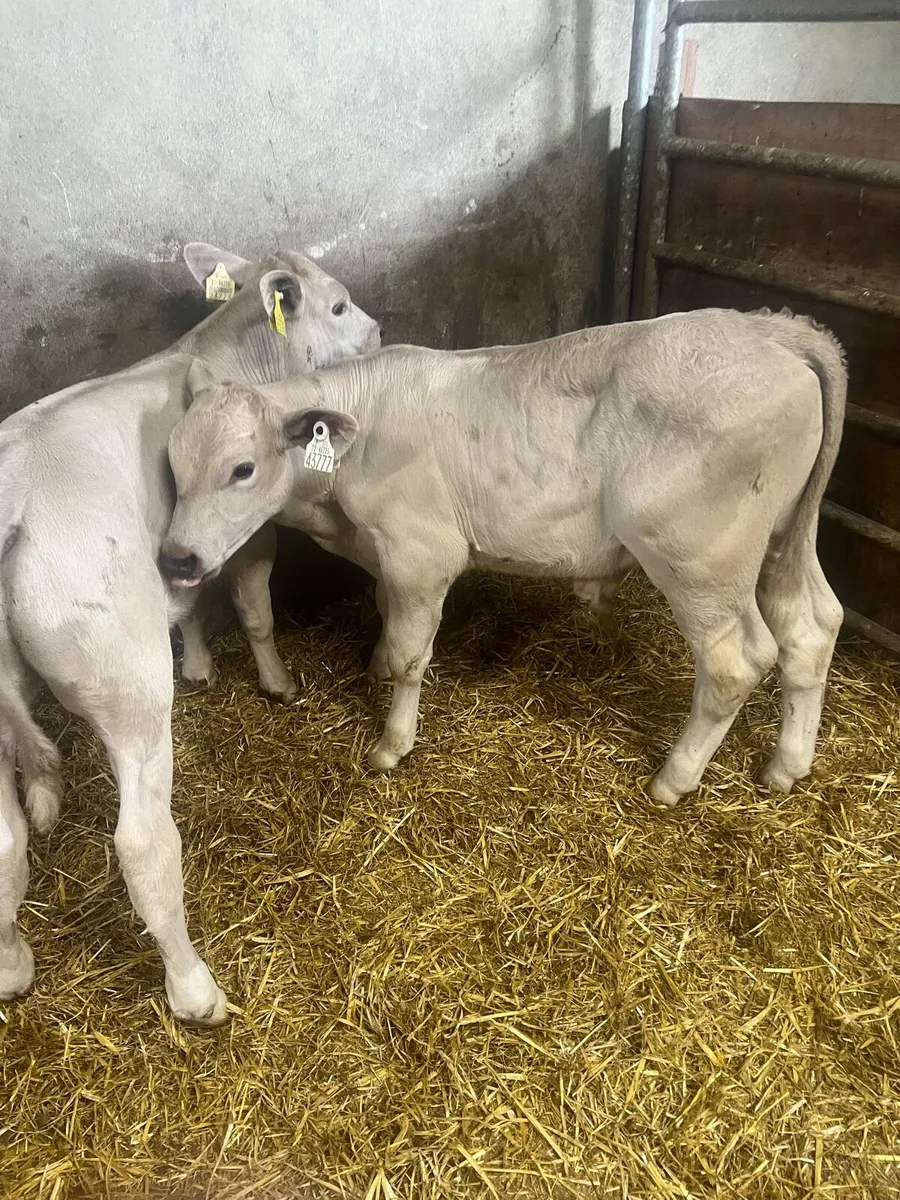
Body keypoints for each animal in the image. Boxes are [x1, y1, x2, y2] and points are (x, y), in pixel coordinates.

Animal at [0, 243, 381, 1022]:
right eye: (337, 304)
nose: (379, 331)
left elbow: (196, 605)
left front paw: (201, 664)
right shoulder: (248, 526)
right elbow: (253, 605)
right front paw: (276, 682)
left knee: (1, 842)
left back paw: (13, 965)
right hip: (127, 681)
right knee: (142, 844)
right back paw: (195, 990)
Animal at [162, 308, 847, 814]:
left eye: (242, 468)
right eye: (172, 464)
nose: (176, 557)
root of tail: (771, 328)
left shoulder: (422, 551)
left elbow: (413, 654)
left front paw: (392, 744)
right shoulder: (385, 553)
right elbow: (387, 617)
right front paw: (375, 667)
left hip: (699, 558)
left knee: (735, 661)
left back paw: (673, 779)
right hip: (784, 535)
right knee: (812, 626)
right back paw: (786, 766)